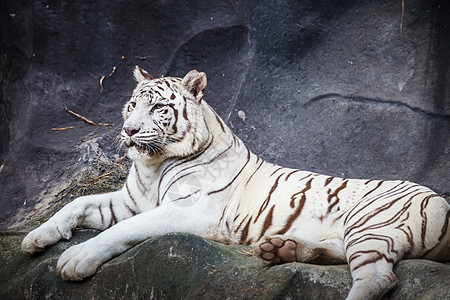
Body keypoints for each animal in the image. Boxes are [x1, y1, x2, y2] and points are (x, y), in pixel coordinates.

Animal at [22, 66, 450, 300]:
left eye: (158, 108)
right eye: (132, 105)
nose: (128, 130)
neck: (153, 165)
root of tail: (441, 200)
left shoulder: (189, 211)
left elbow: (123, 230)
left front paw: (75, 259)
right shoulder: (128, 201)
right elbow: (75, 204)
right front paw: (37, 238)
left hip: (371, 223)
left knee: (378, 278)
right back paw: (280, 249)